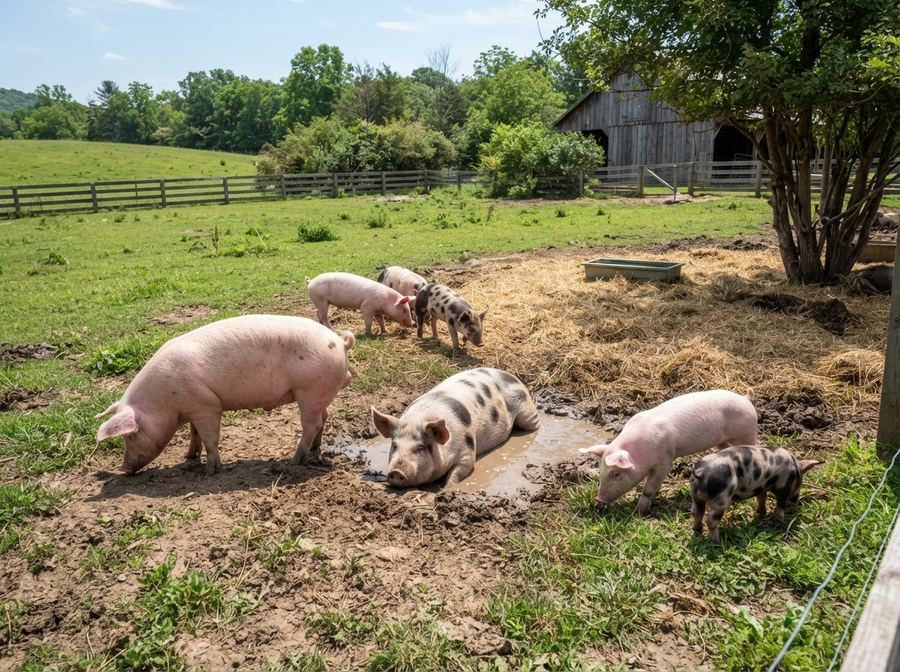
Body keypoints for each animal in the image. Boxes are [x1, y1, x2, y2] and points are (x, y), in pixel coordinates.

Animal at [95, 315, 354, 476]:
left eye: (130, 436)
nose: (123, 468)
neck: (163, 402)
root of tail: (339, 341)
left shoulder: (207, 406)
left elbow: (210, 439)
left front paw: (210, 472)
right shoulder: (193, 408)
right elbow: (195, 434)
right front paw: (189, 457)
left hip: (310, 390)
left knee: (311, 425)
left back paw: (293, 461)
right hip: (319, 394)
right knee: (323, 418)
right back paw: (314, 451)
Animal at [371, 367, 540, 488]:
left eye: (420, 448)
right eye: (394, 445)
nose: (395, 471)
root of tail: (510, 374)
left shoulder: (467, 449)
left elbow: (460, 470)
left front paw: (446, 489)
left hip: (526, 410)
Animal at [579, 389, 758, 514]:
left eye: (616, 474)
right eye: (601, 471)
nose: (599, 498)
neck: (641, 449)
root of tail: (745, 398)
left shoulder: (665, 460)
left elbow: (649, 489)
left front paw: (638, 513)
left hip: (746, 432)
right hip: (722, 440)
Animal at [690, 444, 824, 542]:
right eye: (800, 483)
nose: (796, 501)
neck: (795, 470)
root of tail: (701, 473)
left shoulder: (761, 487)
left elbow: (761, 498)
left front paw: (761, 513)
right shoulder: (784, 487)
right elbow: (780, 507)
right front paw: (780, 523)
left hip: (695, 496)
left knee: (697, 512)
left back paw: (697, 530)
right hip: (720, 499)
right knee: (711, 520)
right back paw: (716, 541)